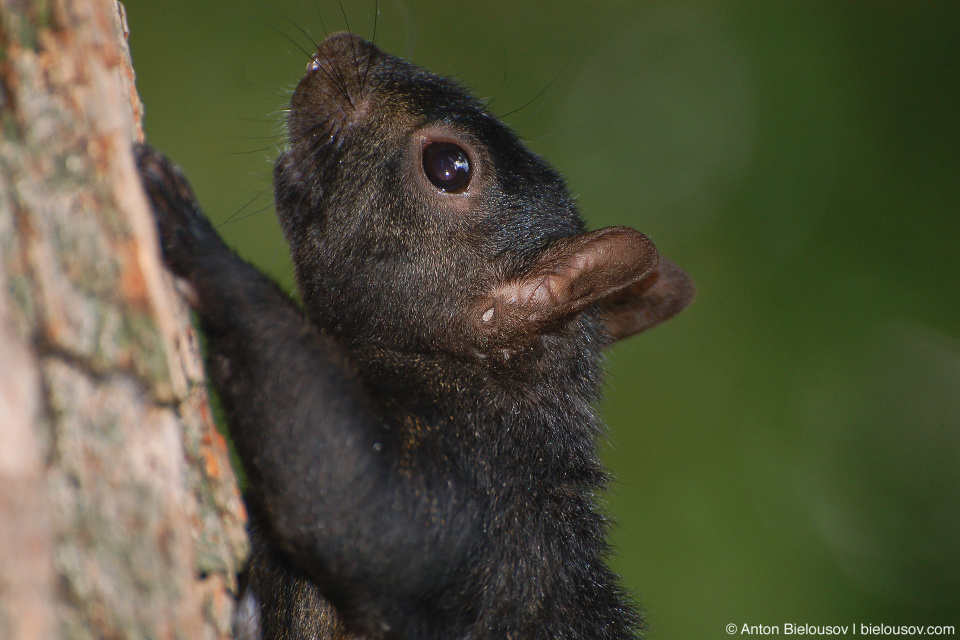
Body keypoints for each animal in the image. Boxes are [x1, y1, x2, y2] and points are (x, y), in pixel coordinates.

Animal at [133, 32, 688, 640]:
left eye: (449, 166)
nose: (344, 47)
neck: (486, 370)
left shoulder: (481, 486)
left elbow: (359, 504)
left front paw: (195, 238)